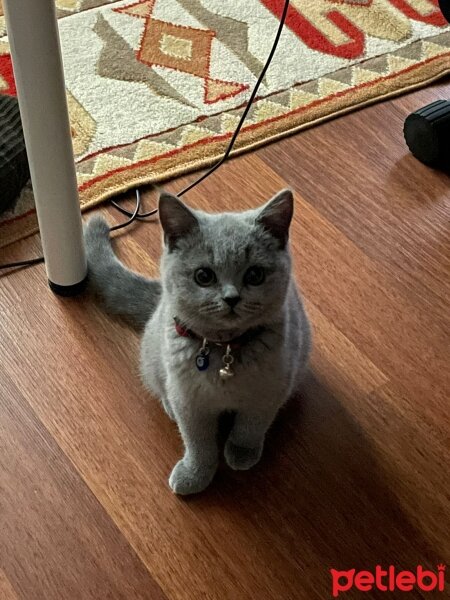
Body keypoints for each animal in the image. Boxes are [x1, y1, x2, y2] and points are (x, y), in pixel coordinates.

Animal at [83, 190, 310, 494]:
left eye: (255, 275)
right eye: (204, 276)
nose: (231, 298)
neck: (225, 350)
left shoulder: (269, 390)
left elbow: (250, 426)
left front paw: (240, 453)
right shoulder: (189, 400)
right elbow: (198, 443)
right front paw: (194, 475)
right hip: (154, 360)